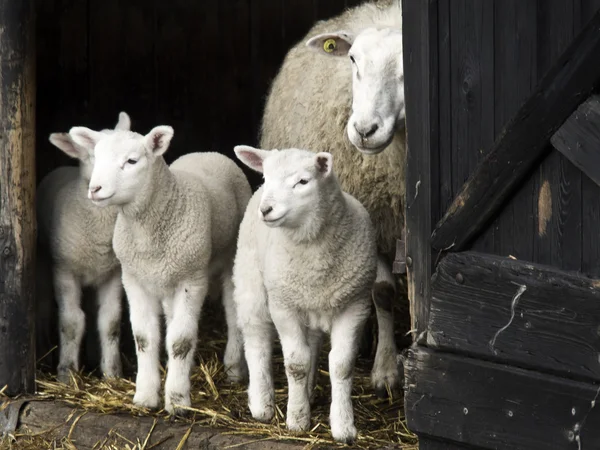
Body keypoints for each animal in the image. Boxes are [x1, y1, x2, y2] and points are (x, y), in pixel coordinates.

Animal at [37, 112, 132, 384]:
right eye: (94, 155)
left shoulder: (112, 273)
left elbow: (110, 321)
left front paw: (112, 374)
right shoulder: (65, 270)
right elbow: (71, 321)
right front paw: (66, 373)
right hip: (44, 262)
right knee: (44, 308)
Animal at [69, 122, 252, 414]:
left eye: (132, 161)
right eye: (96, 157)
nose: (95, 189)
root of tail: (208, 152)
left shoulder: (192, 280)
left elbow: (181, 341)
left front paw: (177, 400)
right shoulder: (134, 279)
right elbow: (144, 338)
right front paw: (145, 396)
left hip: (229, 257)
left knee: (233, 312)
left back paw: (234, 368)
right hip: (165, 277)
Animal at [233, 145, 376, 442]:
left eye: (302, 181)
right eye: (266, 177)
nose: (267, 209)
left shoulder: (355, 305)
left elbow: (341, 365)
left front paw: (344, 426)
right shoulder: (284, 306)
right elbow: (296, 363)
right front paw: (297, 419)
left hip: (312, 303)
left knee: (312, 344)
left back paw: (307, 393)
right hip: (251, 281)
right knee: (256, 338)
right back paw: (262, 403)